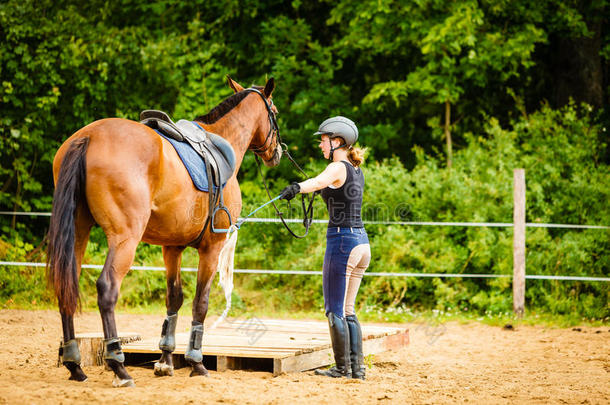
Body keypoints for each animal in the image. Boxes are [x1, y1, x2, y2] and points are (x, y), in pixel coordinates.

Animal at [47, 76, 280, 386]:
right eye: (274, 112)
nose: (277, 152)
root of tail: (88, 137)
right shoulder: (212, 247)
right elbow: (200, 302)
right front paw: (196, 362)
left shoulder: (172, 247)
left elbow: (174, 298)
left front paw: (166, 360)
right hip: (125, 239)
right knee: (107, 288)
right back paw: (118, 365)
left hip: (78, 233)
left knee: (67, 287)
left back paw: (75, 365)